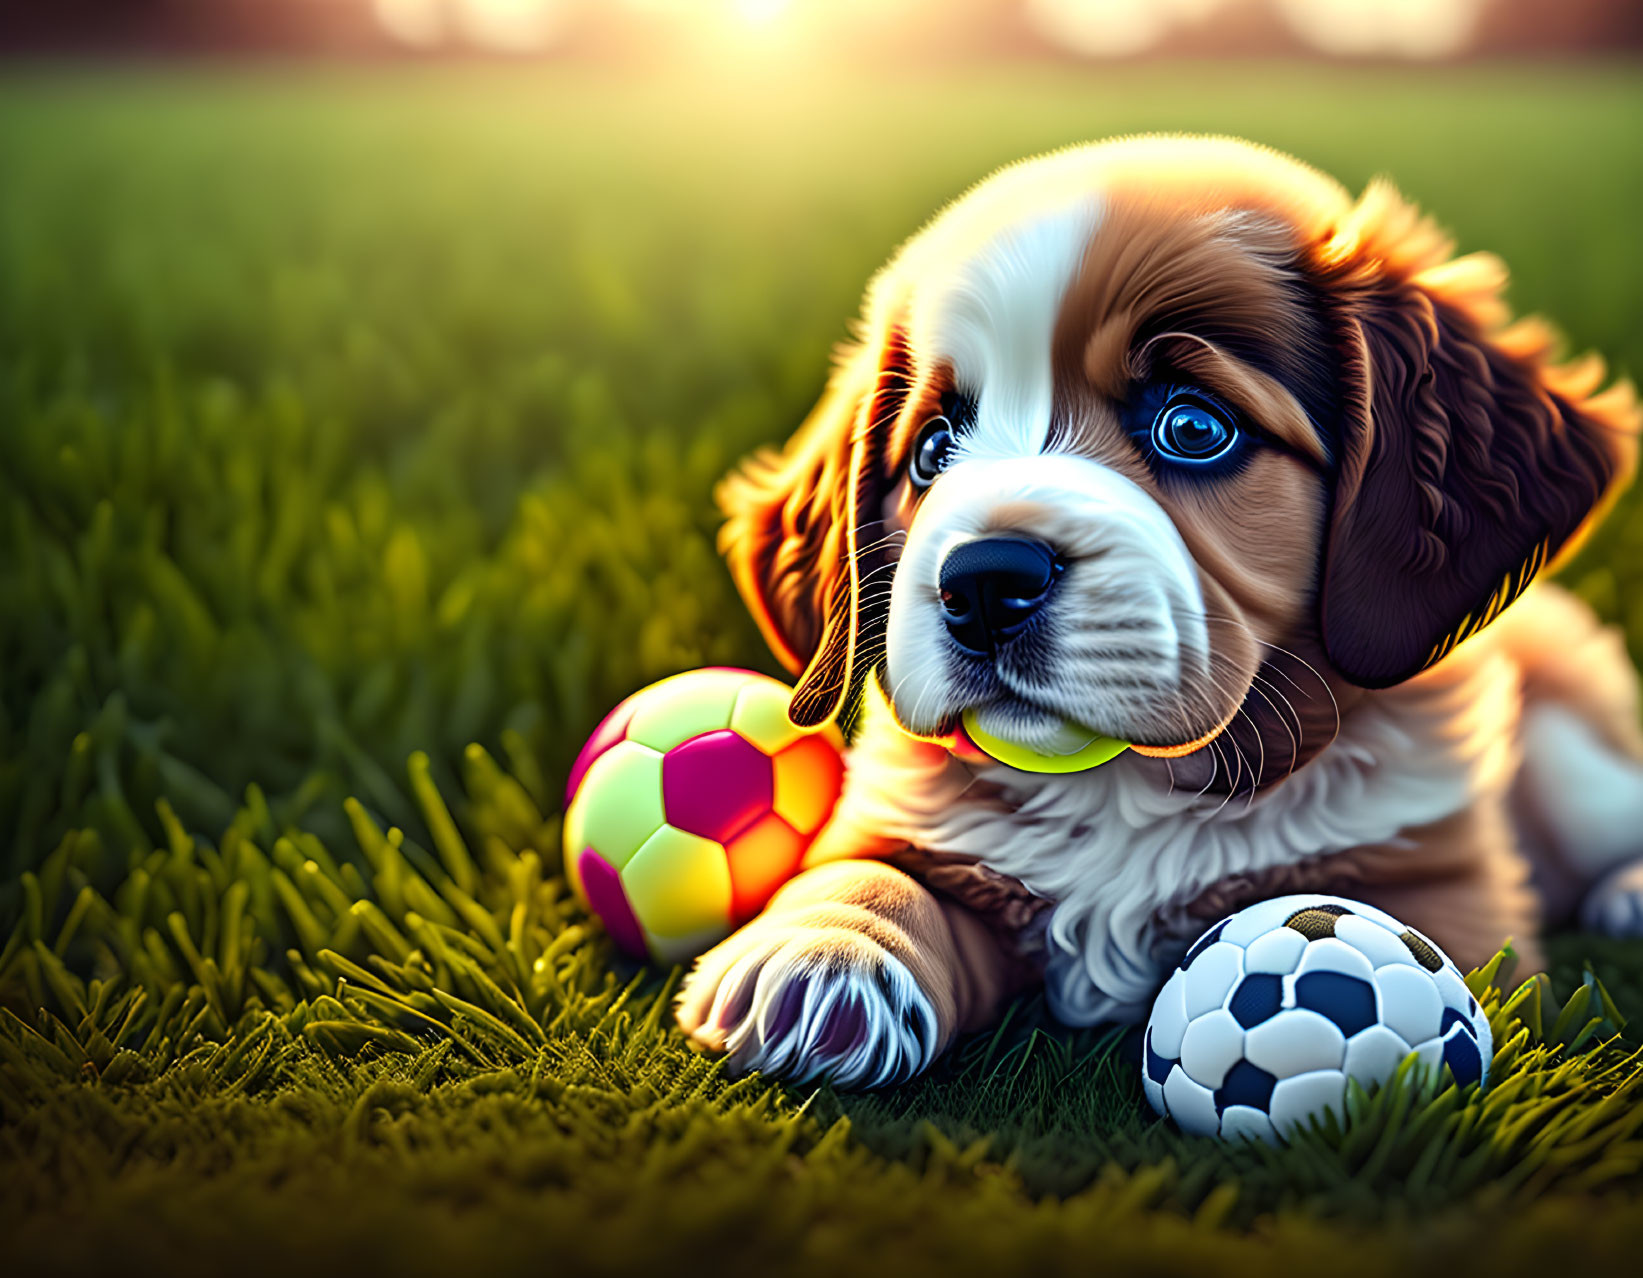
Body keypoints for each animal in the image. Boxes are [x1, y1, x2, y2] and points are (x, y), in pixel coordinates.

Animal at [670, 137, 1643, 1084]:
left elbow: (1377, 926)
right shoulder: (911, 822)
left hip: (1572, 756)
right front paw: (821, 952)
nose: (980, 584)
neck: (1126, 792)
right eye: (932, 450)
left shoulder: (1450, 890)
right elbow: (868, 868)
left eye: (1193, 428)